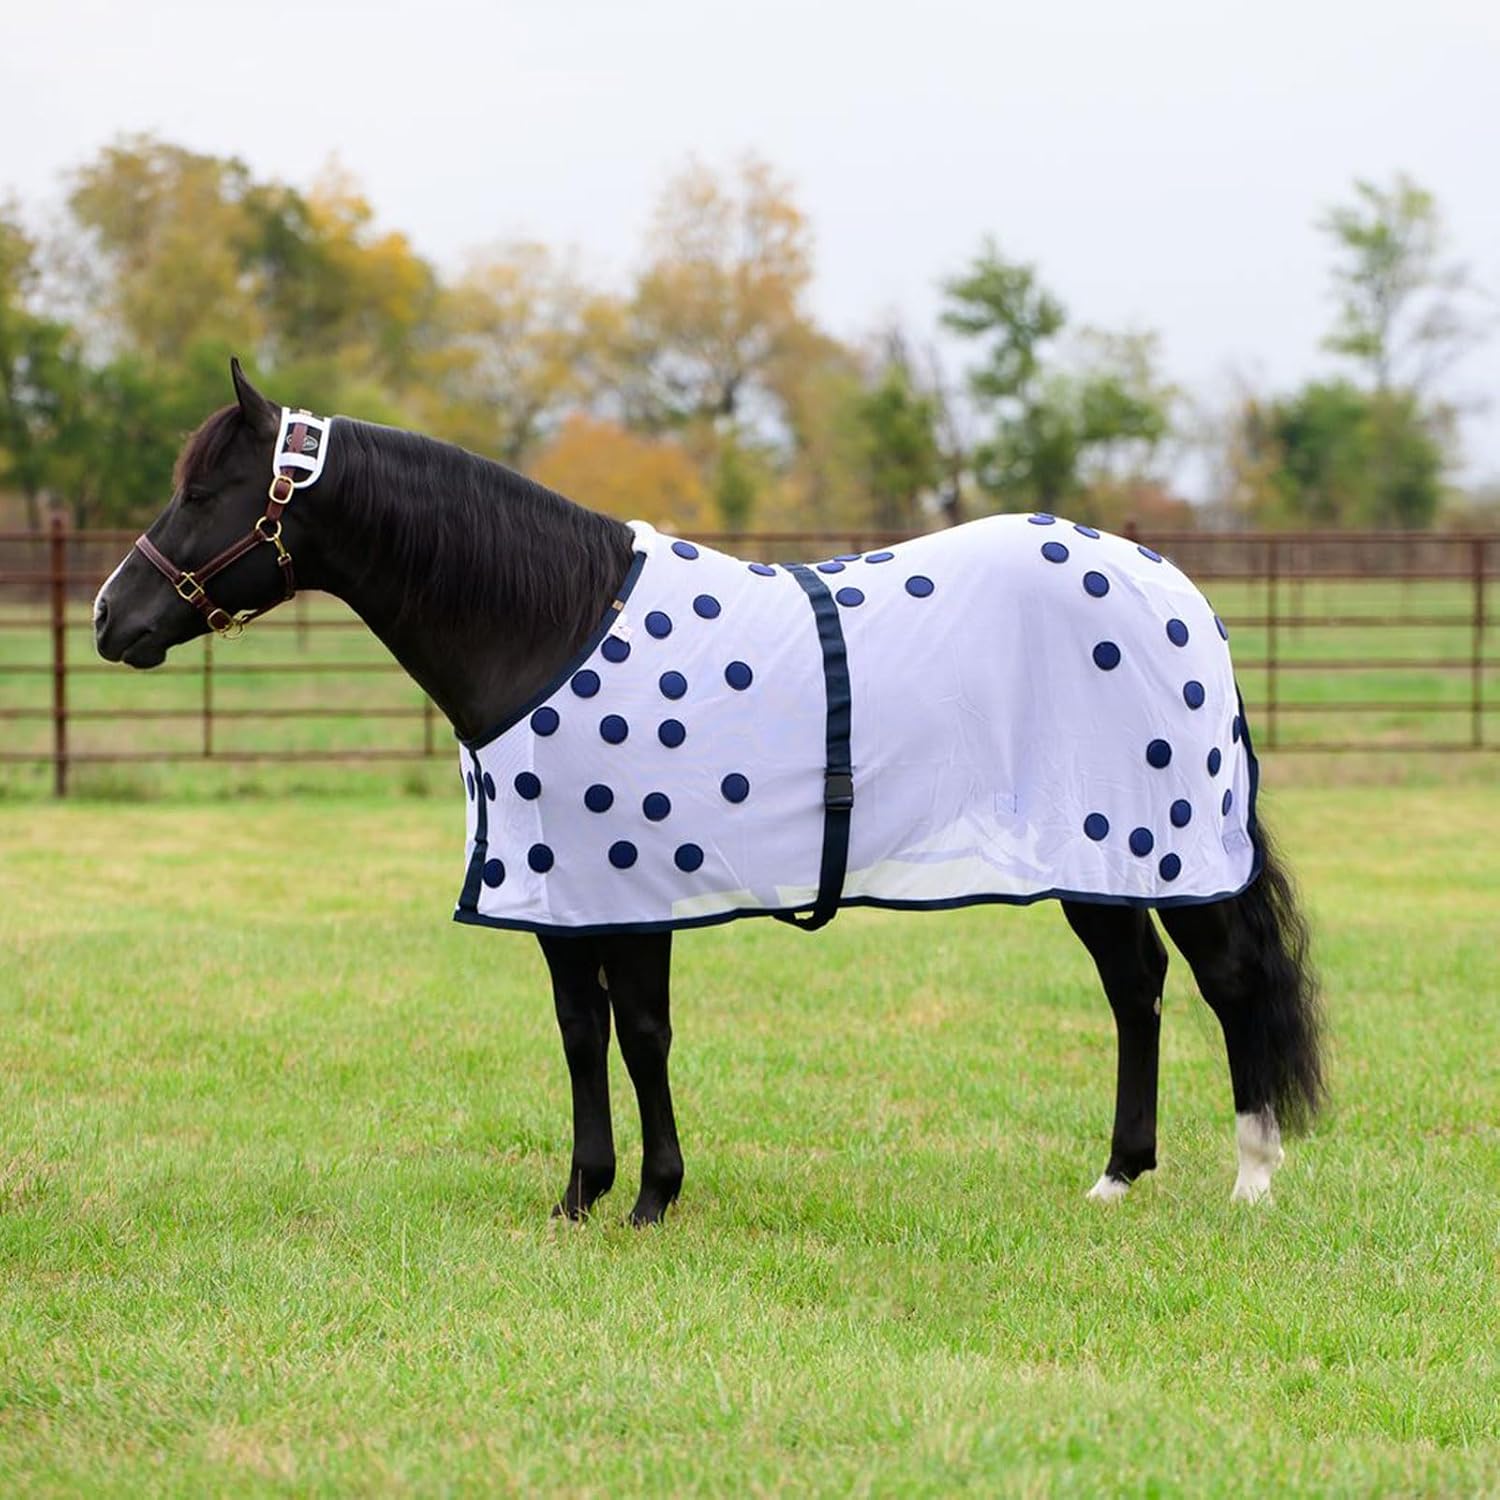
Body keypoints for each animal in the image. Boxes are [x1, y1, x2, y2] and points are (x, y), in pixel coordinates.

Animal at [94, 360, 1324, 1225]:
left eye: (205, 491)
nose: (111, 618)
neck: (549, 622)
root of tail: (1175, 588)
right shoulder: (565, 898)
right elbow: (580, 1033)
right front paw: (579, 1196)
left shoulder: (635, 894)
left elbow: (642, 1034)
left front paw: (652, 1198)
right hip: (1093, 859)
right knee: (1136, 988)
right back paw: (1117, 1177)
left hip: (1167, 849)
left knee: (1227, 982)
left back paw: (1253, 1179)